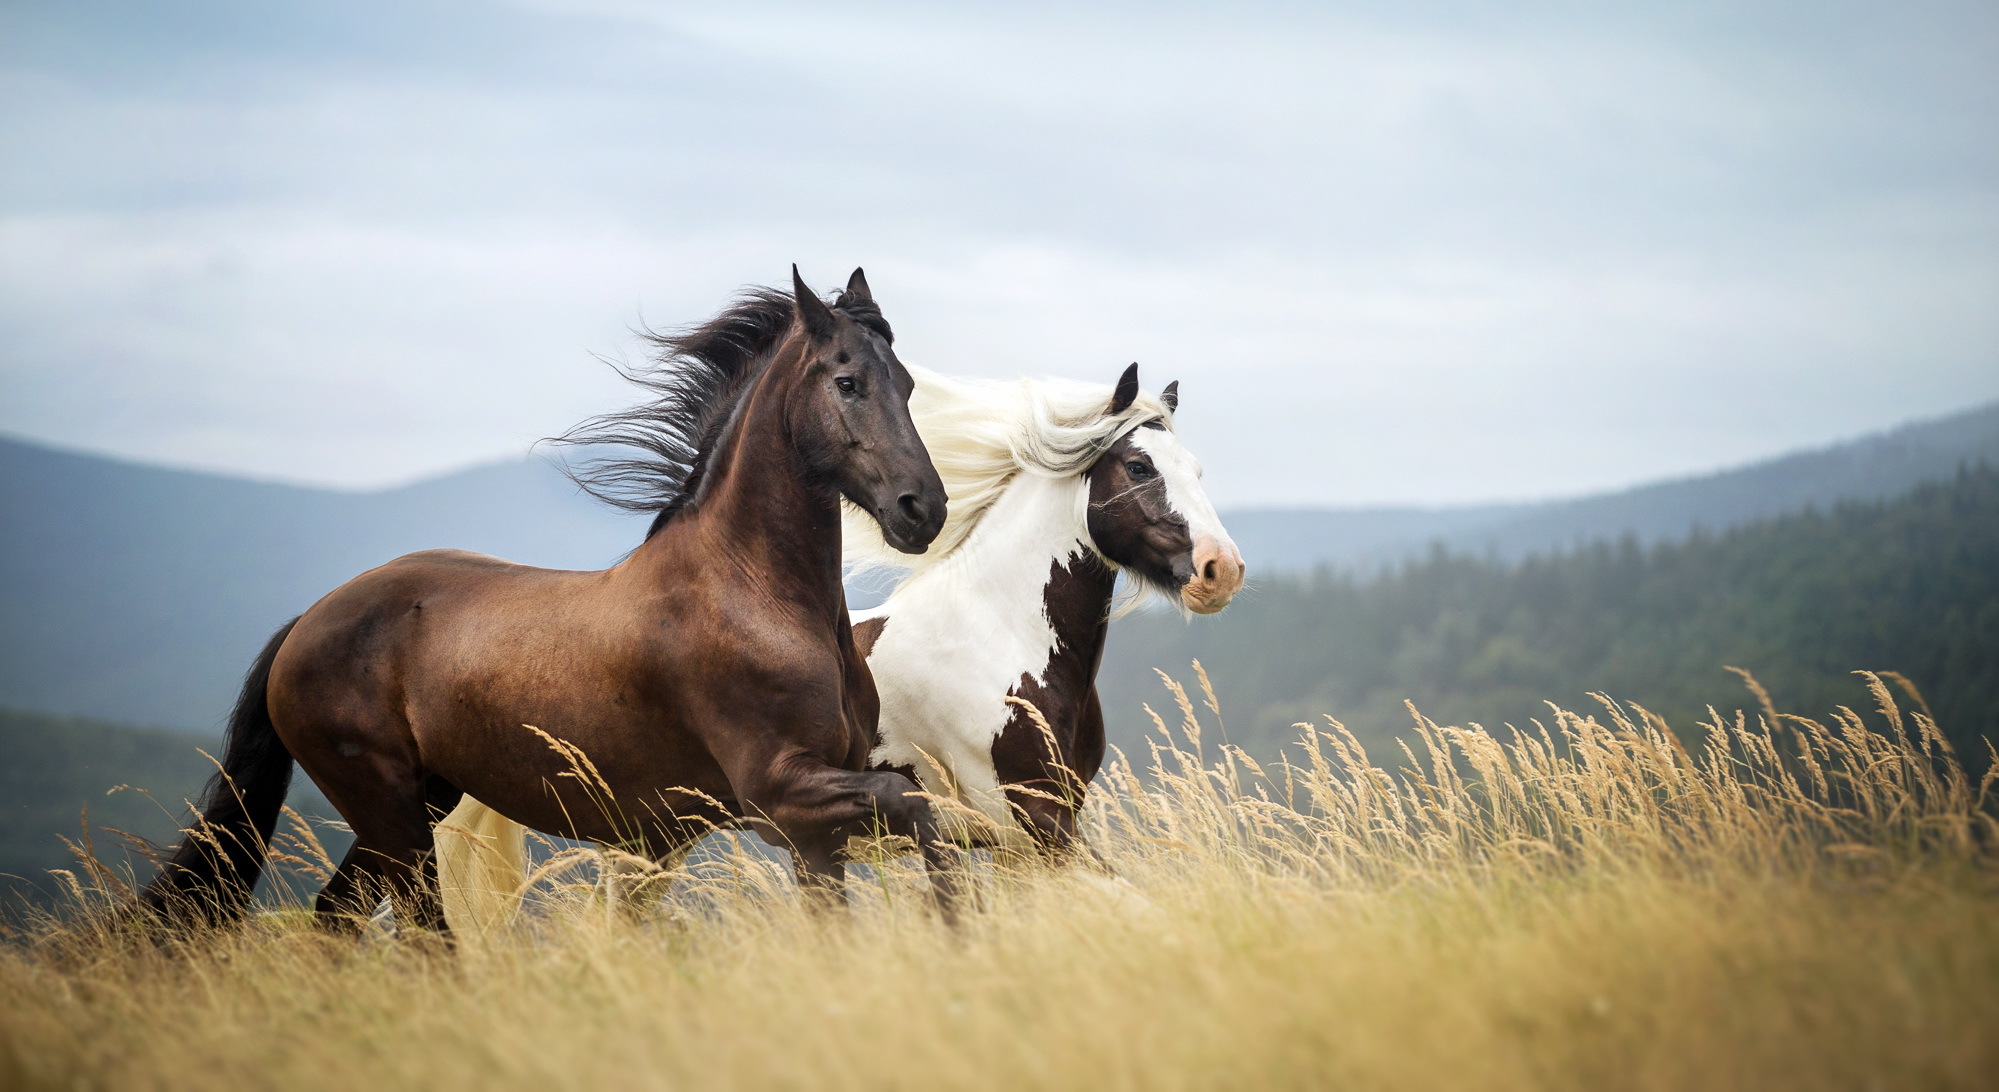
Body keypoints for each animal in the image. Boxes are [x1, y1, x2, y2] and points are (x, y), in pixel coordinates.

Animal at [140, 266, 959, 928]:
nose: (922, 510)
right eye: (847, 382)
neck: (755, 593)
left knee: (335, 917)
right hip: (388, 811)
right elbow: (924, 810)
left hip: (416, 805)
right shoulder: (779, 795)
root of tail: (307, 622)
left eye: (909, 385)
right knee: (421, 930)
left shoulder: (815, 833)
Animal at [443, 362, 1239, 924]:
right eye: (1139, 466)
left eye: (1199, 471)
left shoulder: (1033, 836)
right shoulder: (1028, 824)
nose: (1219, 569)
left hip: (655, 839)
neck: (996, 636)